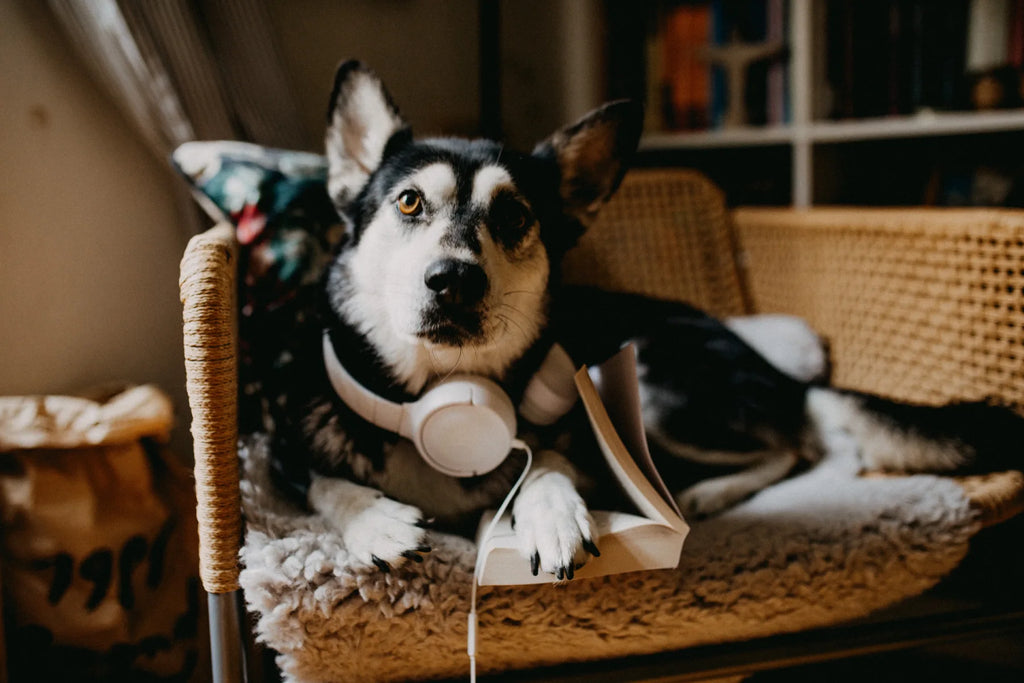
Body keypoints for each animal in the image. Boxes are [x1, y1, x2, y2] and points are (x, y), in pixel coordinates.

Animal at [272, 60, 1024, 581]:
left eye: (513, 215)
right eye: (407, 202)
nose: (454, 280)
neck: (440, 398)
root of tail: (773, 368)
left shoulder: (583, 432)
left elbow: (549, 458)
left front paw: (551, 509)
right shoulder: (284, 458)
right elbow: (325, 483)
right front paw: (375, 519)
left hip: (655, 385)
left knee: (806, 446)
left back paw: (714, 491)